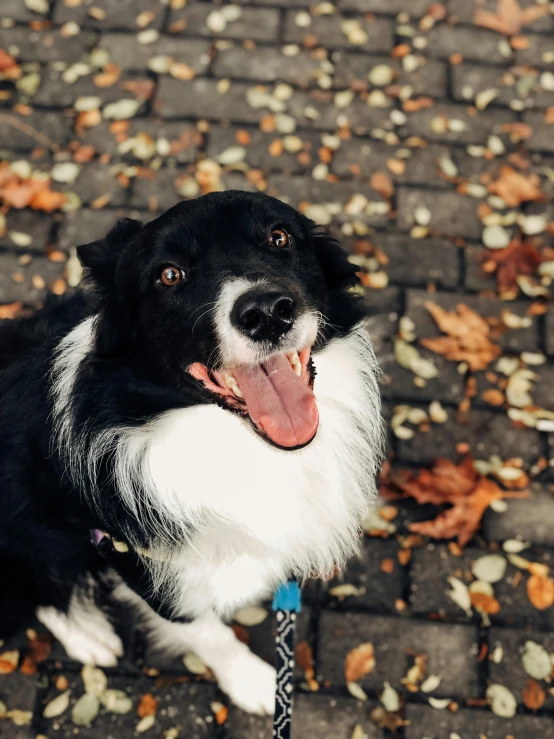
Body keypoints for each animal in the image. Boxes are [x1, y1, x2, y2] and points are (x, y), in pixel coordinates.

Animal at [0, 192, 380, 716]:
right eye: (169, 274)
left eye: (279, 237)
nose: (267, 313)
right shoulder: (131, 555)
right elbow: (205, 631)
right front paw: (254, 683)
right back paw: (87, 634)